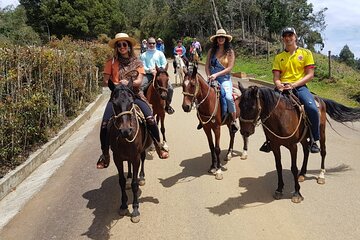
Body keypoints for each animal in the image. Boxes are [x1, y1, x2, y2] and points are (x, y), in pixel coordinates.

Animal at [107, 84, 151, 223]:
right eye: (114, 103)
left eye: (131, 102)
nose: (125, 130)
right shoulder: (117, 158)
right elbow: (121, 181)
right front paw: (123, 205)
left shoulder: (135, 157)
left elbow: (135, 184)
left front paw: (135, 209)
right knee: (129, 165)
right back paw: (130, 176)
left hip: (141, 150)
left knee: (142, 159)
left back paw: (141, 176)